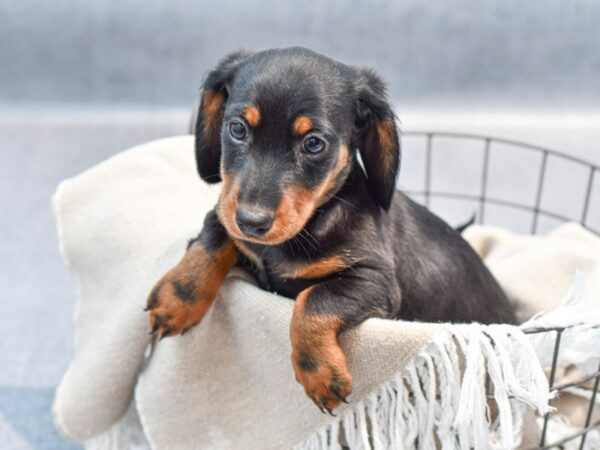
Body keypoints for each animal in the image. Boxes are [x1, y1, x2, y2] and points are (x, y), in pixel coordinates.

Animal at [146, 47, 516, 414]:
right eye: (237, 128)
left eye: (313, 144)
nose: (251, 221)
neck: (311, 223)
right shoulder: (226, 216)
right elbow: (213, 236)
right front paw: (176, 299)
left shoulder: (374, 280)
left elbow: (312, 300)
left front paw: (319, 373)